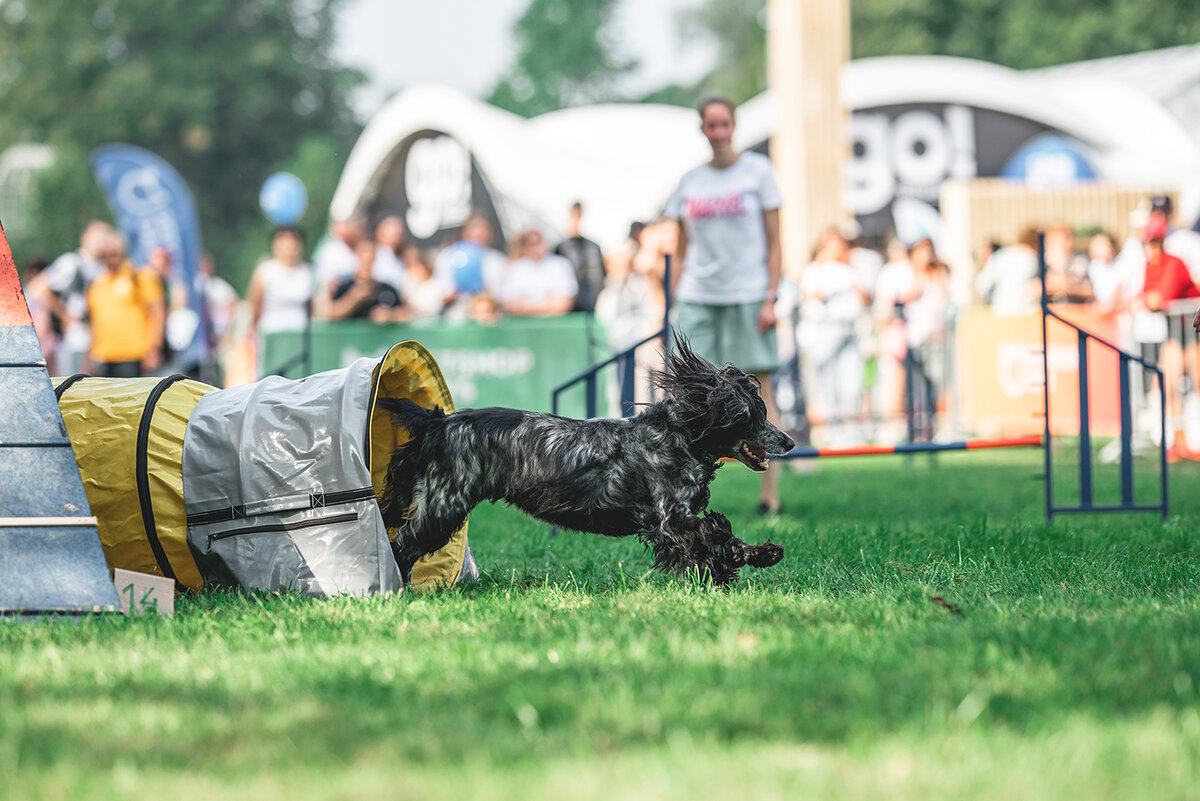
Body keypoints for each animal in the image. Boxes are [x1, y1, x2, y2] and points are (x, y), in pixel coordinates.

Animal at [381, 335, 796, 585]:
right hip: (442, 505)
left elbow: (718, 539)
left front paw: (755, 558)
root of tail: (438, 421)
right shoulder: (670, 519)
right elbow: (716, 535)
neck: (677, 437)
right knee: (402, 544)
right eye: (751, 415)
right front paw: (743, 562)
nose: (790, 441)